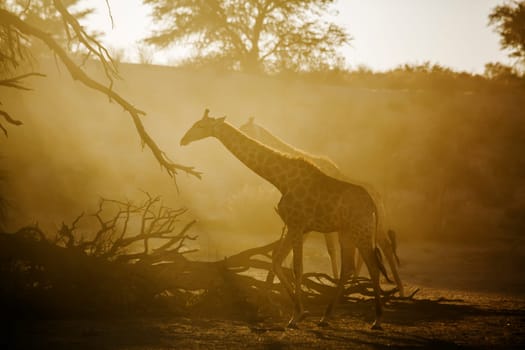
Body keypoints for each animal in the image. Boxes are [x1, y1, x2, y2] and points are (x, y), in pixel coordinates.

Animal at [239, 116, 404, 296]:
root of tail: (379, 196)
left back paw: (399, 291)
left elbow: (330, 249)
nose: (239, 132)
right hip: (367, 226)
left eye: (245, 129)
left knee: (386, 248)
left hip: (374, 225)